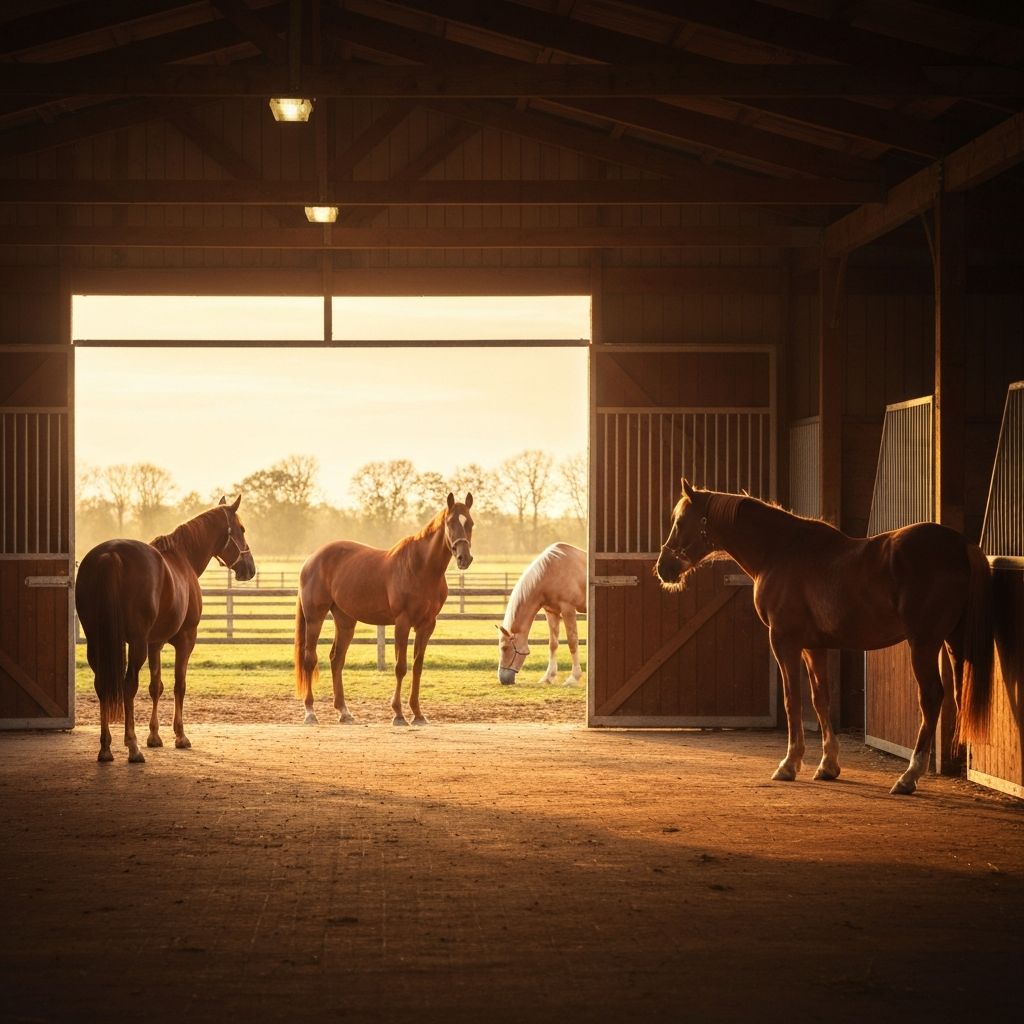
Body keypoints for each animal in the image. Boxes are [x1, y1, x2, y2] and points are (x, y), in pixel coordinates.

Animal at [74, 496, 256, 764]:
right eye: (241, 529)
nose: (249, 568)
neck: (183, 558)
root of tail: (110, 555)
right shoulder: (185, 640)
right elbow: (179, 685)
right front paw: (180, 736)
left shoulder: (155, 644)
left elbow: (156, 686)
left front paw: (154, 736)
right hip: (136, 643)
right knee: (128, 686)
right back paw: (132, 746)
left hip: (98, 642)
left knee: (102, 685)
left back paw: (106, 747)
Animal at [295, 492, 474, 727]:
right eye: (450, 523)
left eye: (470, 523)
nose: (464, 558)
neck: (421, 568)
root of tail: (311, 559)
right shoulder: (402, 622)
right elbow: (401, 667)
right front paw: (398, 714)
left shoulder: (427, 625)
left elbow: (417, 667)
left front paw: (418, 714)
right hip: (315, 617)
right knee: (310, 659)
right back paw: (310, 712)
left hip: (345, 621)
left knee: (336, 659)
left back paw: (344, 712)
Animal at [497, 542, 587, 686]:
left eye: (505, 648)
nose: (503, 679)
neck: (551, 572)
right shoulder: (551, 612)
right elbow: (553, 644)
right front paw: (548, 677)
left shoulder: (568, 609)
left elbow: (572, 642)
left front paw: (573, 678)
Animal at [655, 479, 994, 795]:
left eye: (680, 522)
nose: (663, 568)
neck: (779, 551)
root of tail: (961, 545)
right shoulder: (813, 647)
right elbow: (821, 700)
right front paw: (828, 765)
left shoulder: (784, 641)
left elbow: (792, 700)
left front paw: (789, 764)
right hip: (954, 641)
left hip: (923, 643)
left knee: (931, 696)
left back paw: (908, 777)